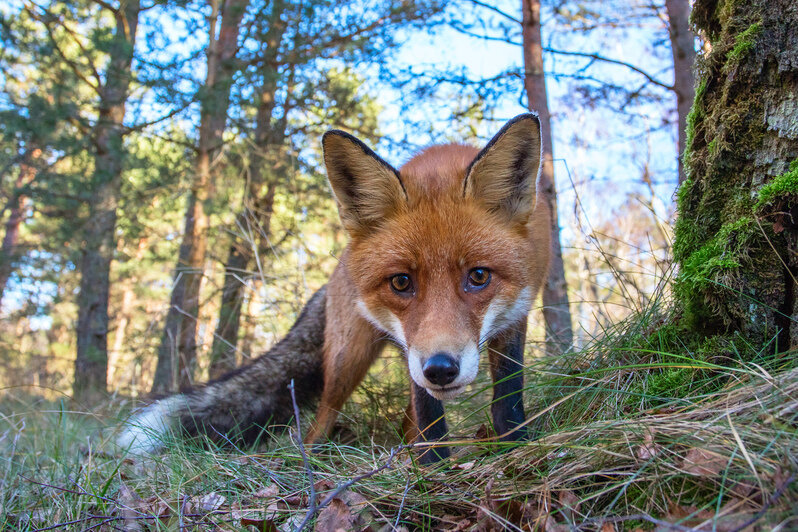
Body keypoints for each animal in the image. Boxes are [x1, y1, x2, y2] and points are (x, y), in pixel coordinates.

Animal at [119, 115, 552, 462]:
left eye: (478, 277)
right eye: (401, 282)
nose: (441, 370)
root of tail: (338, 267)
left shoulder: (515, 314)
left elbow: (508, 397)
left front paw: (515, 449)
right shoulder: (414, 349)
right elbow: (429, 414)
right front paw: (434, 470)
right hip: (350, 359)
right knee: (321, 419)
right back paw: (311, 465)